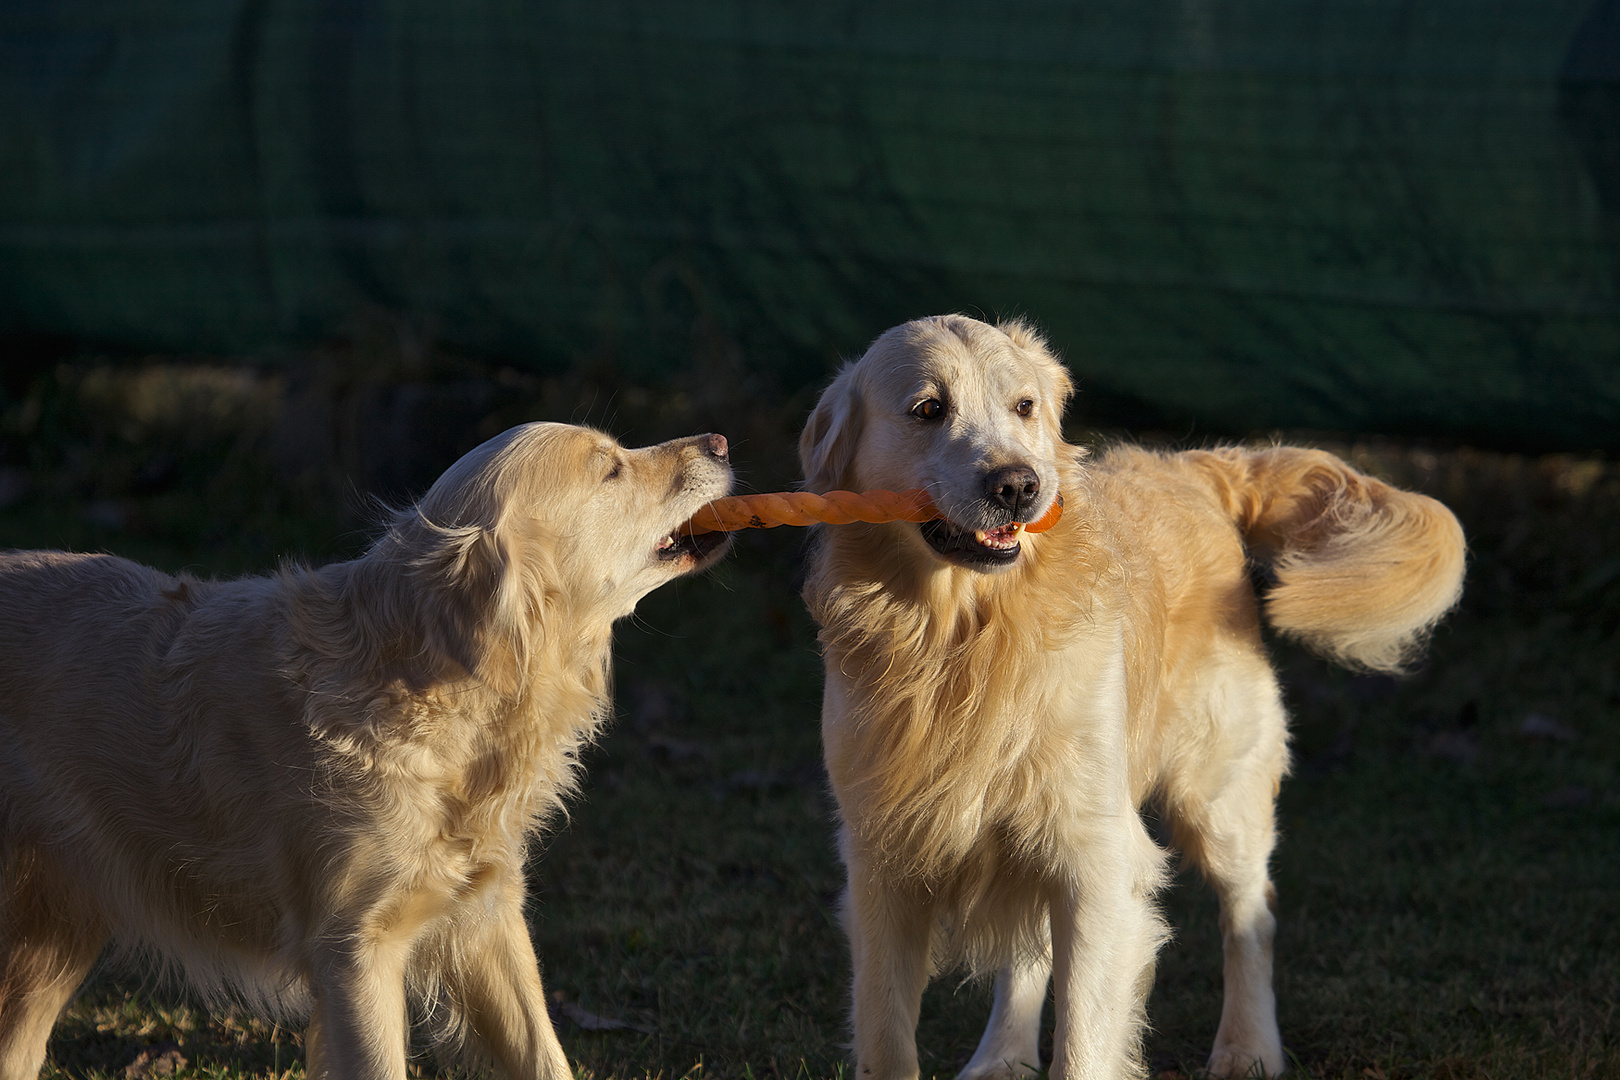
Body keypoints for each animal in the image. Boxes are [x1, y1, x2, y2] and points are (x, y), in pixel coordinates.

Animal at [800, 314, 1470, 1080]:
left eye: (1024, 406)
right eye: (927, 409)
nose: (1019, 485)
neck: (964, 640)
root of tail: (1190, 466)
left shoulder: (1097, 854)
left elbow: (1085, 1041)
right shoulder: (882, 865)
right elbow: (886, 1034)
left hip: (1217, 792)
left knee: (1252, 913)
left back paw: (1247, 1045)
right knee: (1031, 951)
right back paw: (1001, 1056)